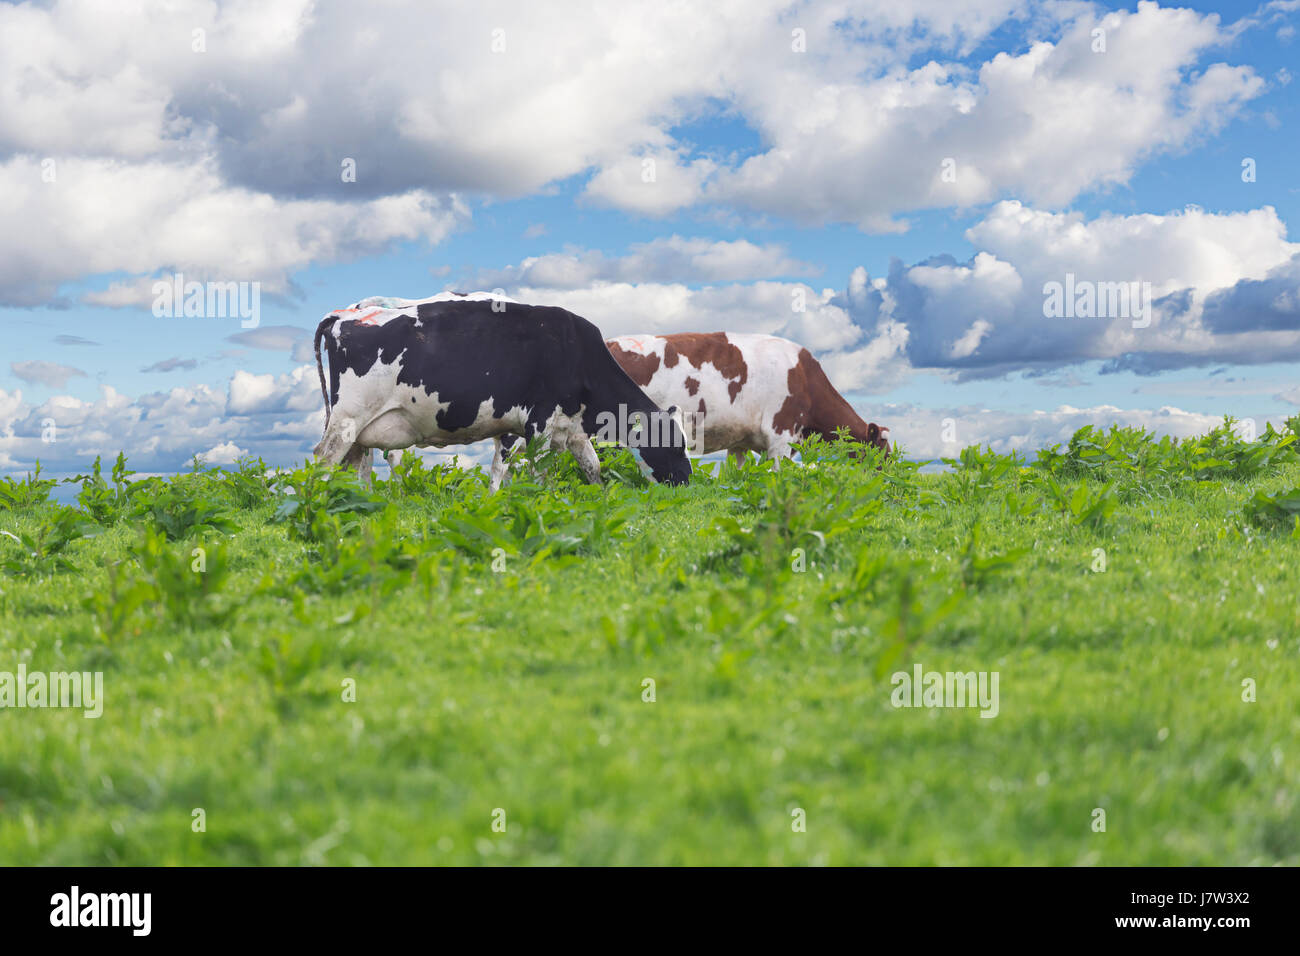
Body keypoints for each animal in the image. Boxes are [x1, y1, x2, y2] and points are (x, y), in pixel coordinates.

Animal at [312, 292, 692, 490]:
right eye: (673, 445)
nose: (687, 481)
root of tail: (341, 316)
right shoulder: (537, 421)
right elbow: (533, 469)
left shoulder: (568, 428)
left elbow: (591, 465)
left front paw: (598, 495)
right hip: (348, 417)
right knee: (325, 458)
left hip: (360, 428)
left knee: (356, 464)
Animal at [492, 331, 890, 480]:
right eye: (883, 454)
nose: (891, 476)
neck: (805, 377)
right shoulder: (781, 434)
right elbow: (779, 475)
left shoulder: (741, 441)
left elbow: (738, 473)